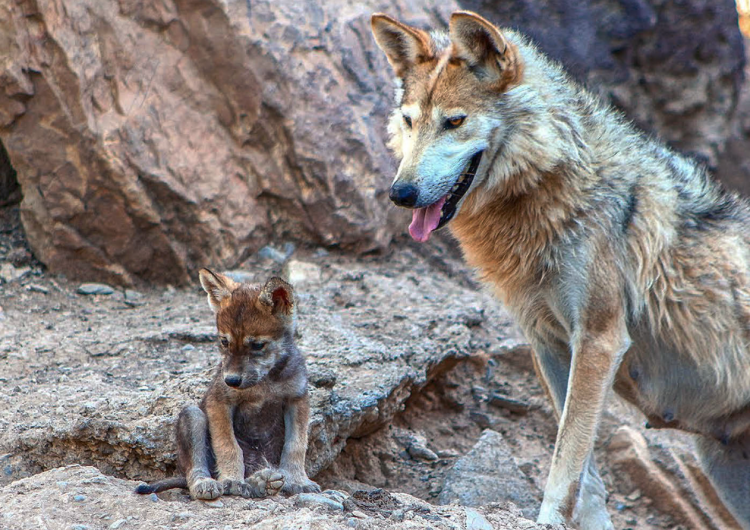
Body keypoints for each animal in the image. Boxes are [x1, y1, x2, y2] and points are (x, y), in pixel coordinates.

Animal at [374, 9, 750, 528]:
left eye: (454, 122)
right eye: (410, 121)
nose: (401, 193)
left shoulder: (598, 340)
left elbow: (565, 460)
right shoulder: (548, 342)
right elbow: (583, 474)